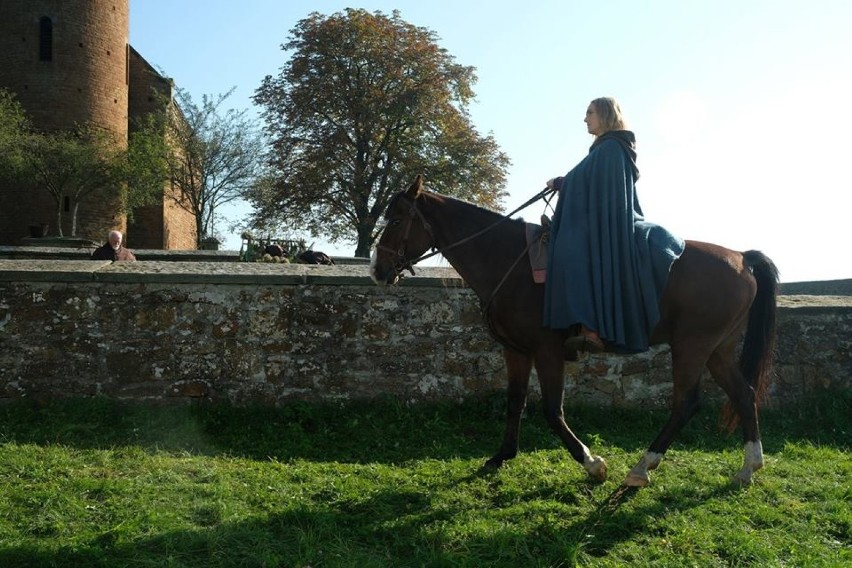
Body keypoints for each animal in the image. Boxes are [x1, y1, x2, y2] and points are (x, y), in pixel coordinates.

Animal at [372, 175, 780, 486]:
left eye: (396, 220)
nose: (378, 270)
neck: (510, 260)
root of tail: (741, 258)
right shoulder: (516, 350)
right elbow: (515, 401)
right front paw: (501, 455)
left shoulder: (548, 350)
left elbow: (553, 411)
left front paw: (592, 463)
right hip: (717, 349)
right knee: (743, 395)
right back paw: (748, 467)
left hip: (692, 346)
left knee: (685, 403)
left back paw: (642, 466)